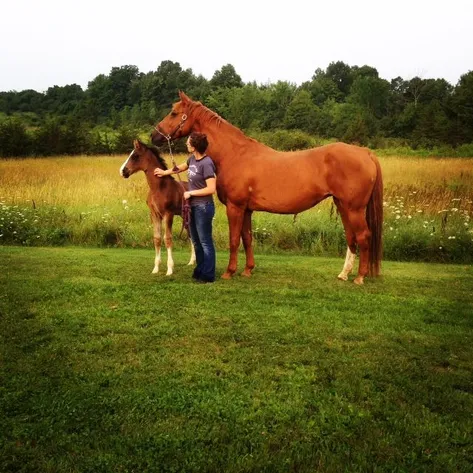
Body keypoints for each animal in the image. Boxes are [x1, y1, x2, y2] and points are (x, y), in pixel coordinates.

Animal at [121, 138, 197, 274]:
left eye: (135, 156)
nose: (123, 171)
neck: (158, 188)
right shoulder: (154, 214)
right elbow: (157, 238)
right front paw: (156, 268)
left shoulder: (168, 214)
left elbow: (168, 239)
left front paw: (170, 269)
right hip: (185, 217)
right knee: (191, 236)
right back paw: (191, 262)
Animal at [151, 91, 384, 284]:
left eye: (174, 113)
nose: (154, 136)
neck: (234, 154)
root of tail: (365, 153)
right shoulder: (246, 209)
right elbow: (247, 239)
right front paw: (247, 270)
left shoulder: (235, 207)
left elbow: (234, 240)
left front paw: (229, 272)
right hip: (343, 206)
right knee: (351, 237)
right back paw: (344, 274)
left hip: (354, 209)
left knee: (363, 236)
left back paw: (359, 277)